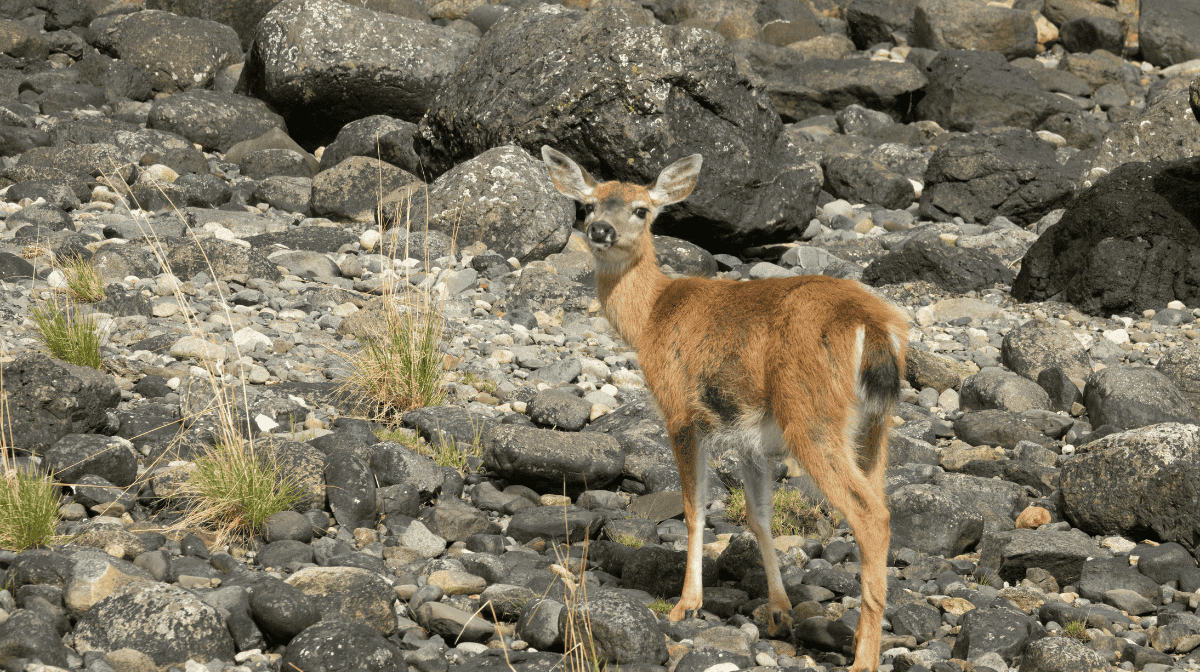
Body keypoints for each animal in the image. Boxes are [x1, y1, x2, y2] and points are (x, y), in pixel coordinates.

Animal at [544, 147, 907, 672]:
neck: (652, 317)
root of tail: (874, 327)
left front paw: (685, 604)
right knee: (879, 501)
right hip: (875, 426)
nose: (601, 230)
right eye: (589, 204)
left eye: (641, 209)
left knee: (870, 515)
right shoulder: (750, 435)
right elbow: (758, 515)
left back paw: (863, 660)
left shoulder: (681, 410)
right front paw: (779, 612)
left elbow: (695, 507)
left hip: (810, 414)